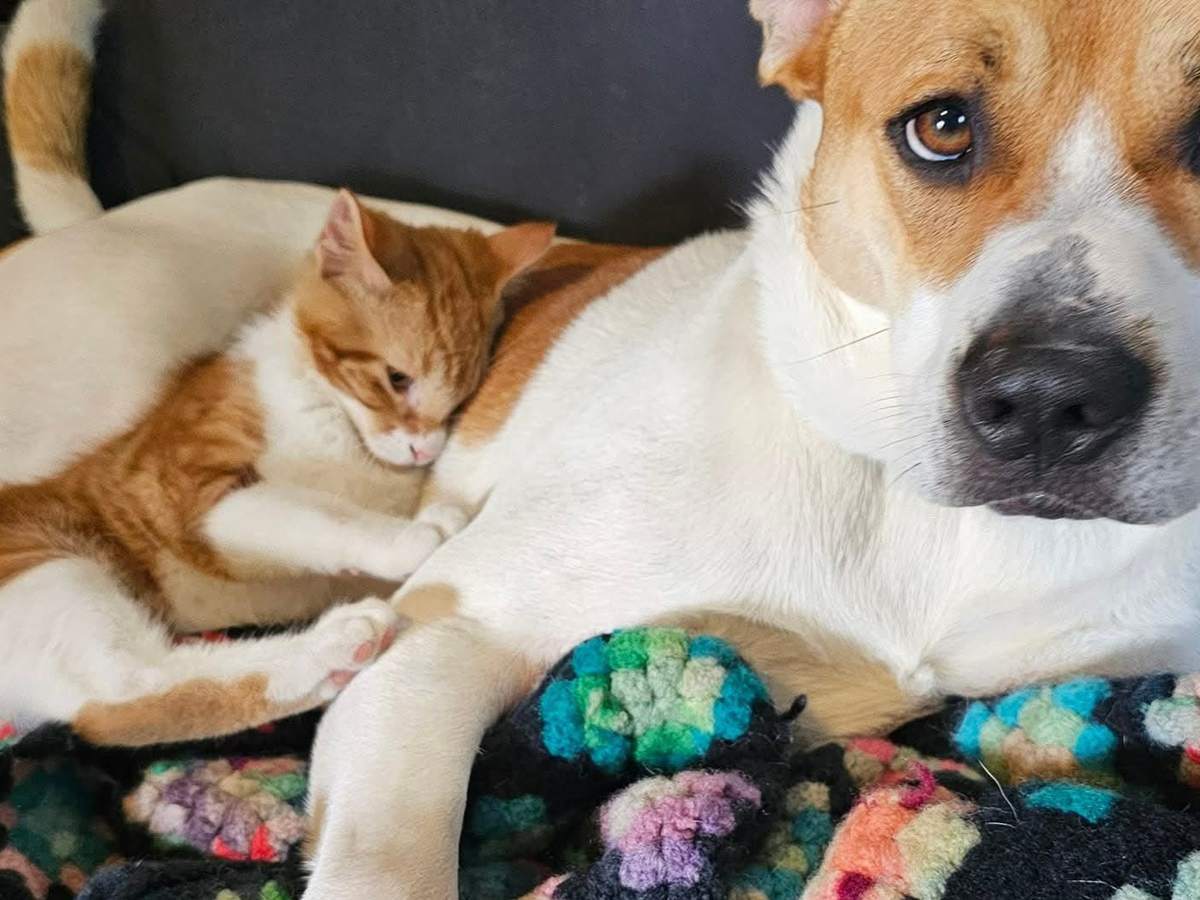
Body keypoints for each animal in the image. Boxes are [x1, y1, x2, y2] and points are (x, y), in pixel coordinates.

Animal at [0, 189, 554, 746]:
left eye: (463, 395)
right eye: (397, 379)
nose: (425, 450)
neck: (335, 416)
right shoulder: (182, 490)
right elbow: (310, 512)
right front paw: (413, 534)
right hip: (44, 559)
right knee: (117, 694)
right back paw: (334, 642)